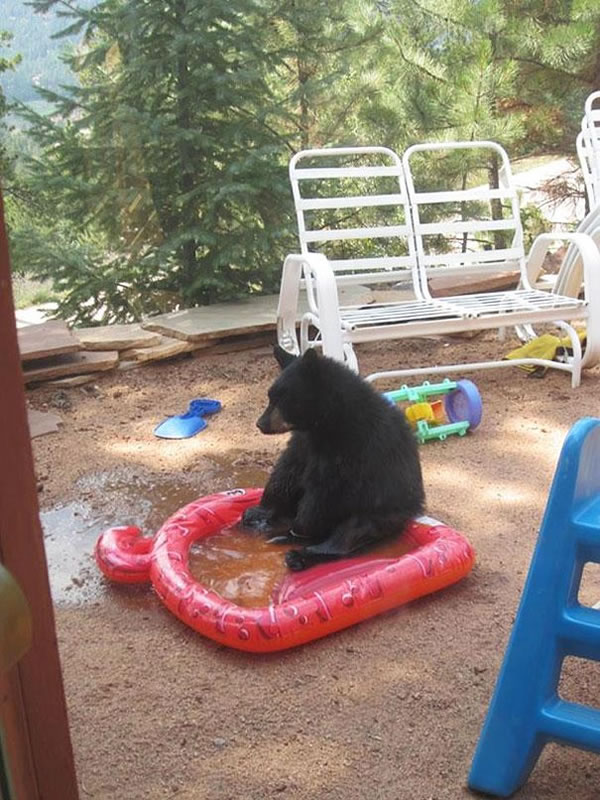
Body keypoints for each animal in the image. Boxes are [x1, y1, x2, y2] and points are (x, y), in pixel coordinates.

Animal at [241, 345, 425, 571]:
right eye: (270, 396)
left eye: (284, 398)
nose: (261, 423)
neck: (329, 421)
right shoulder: (305, 441)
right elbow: (288, 469)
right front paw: (259, 512)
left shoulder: (356, 447)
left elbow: (327, 490)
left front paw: (298, 529)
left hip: (380, 511)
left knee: (349, 533)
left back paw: (298, 552)